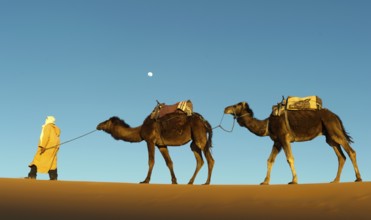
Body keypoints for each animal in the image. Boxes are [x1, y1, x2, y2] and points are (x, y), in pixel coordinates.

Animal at [224, 102, 364, 185]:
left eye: (236, 105)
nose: (225, 109)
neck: (267, 125)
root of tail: (336, 117)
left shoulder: (284, 137)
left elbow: (290, 158)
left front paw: (294, 180)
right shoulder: (277, 141)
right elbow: (270, 160)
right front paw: (265, 182)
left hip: (334, 130)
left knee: (351, 152)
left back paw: (358, 178)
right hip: (330, 137)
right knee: (341, 156)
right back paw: (335, 180)